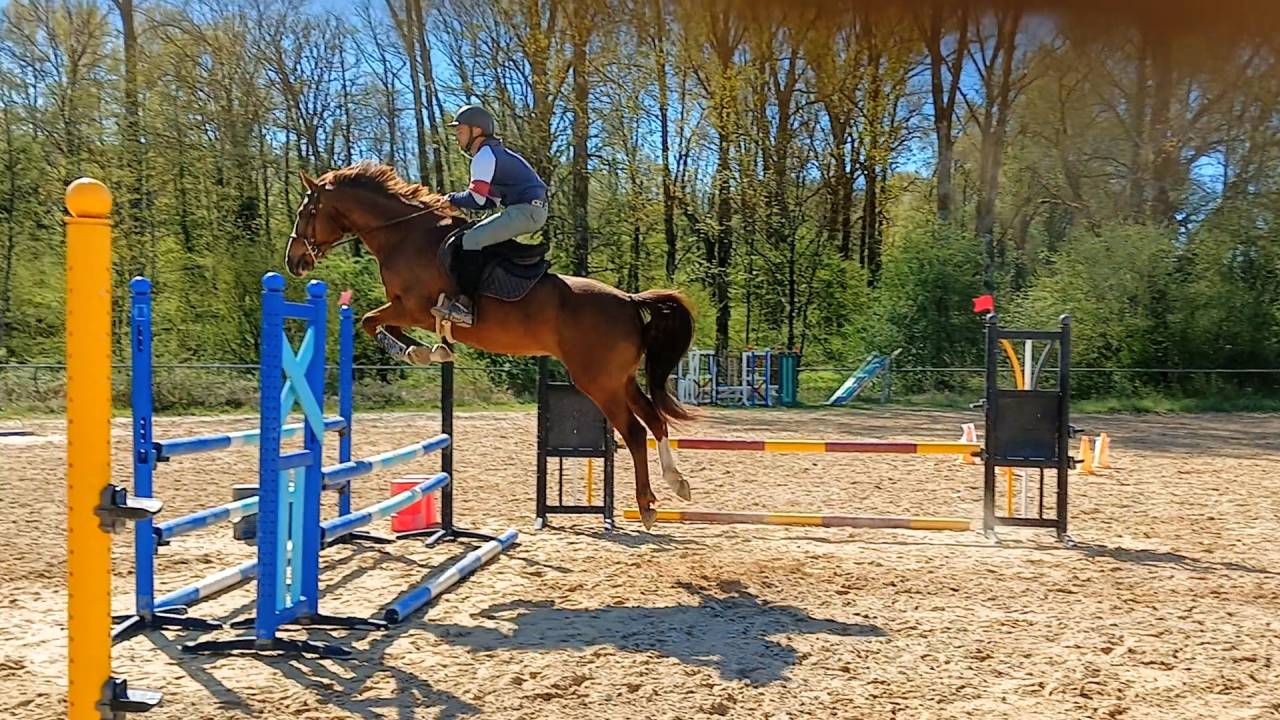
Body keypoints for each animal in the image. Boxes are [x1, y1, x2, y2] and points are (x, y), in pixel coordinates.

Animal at [283, 162, 694, 528]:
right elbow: (384, 326)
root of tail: (629, 300)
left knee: (635, 431)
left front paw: (416, 351)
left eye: (307, 211)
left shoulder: (412, 307)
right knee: (655, 419)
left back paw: (647, 505)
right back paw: (677, 483)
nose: (293, 261)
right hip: (620, 379)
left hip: (598, 382)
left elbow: (370, 321)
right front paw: (429, 351)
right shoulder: (409, 311)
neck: (403, 235)